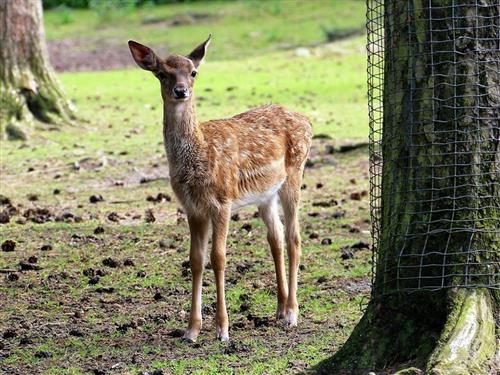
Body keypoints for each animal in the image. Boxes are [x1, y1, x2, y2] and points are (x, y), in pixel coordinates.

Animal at [127, 36, 310, 344]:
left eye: (193, 72)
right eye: (162, 73)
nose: (180, 91)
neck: (199, 155)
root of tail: (307, 121)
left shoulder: (222, 201)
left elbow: (219, 258)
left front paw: (222, 329)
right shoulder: (192, 207)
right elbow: (195, 259)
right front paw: (191, 330)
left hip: (295, 173)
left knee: (294, 238)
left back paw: (292, 314)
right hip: (265, 194)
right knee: (276, 238)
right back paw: (280, 308)